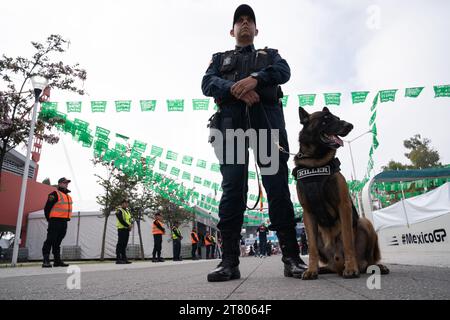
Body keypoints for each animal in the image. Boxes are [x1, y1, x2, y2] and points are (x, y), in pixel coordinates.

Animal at [294, 107, 388, 280]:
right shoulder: (308, 213)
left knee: (369, 260)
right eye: (326, 119)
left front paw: (351, 268)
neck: (315, 161)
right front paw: (311, 270)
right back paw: (322, 269)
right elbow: (312, 249)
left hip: (365, 223)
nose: (349, 126)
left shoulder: (343, 206)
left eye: (337, 118)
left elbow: (347, 239)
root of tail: (336, 266)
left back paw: (374, 267)